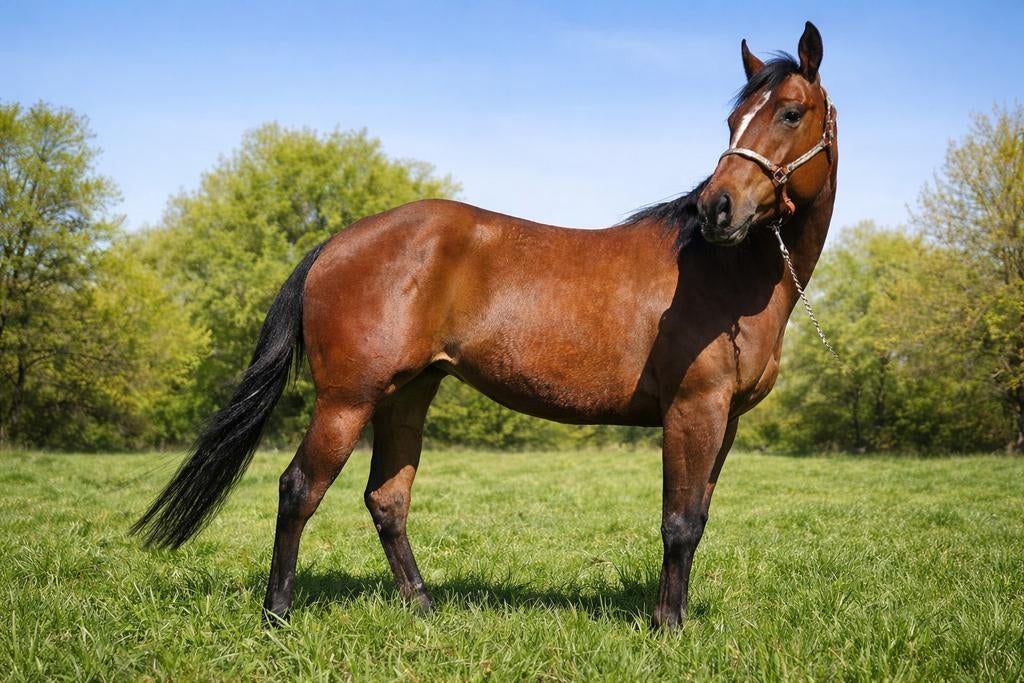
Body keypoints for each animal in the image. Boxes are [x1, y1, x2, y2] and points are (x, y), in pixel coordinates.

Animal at [134, 21, 838, 631]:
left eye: (790, 113)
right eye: (733, 120)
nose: (718, 207)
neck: (723, 272)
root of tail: (337, 243)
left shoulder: (725, 419)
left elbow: (698, 518)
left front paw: (678, 618)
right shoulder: (693, 410)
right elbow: (679, 521)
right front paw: (668, 627)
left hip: (406, 395)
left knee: (387, 499)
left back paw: (423, 608)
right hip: (346, 400)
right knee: (299, 488)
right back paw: (277, 616)